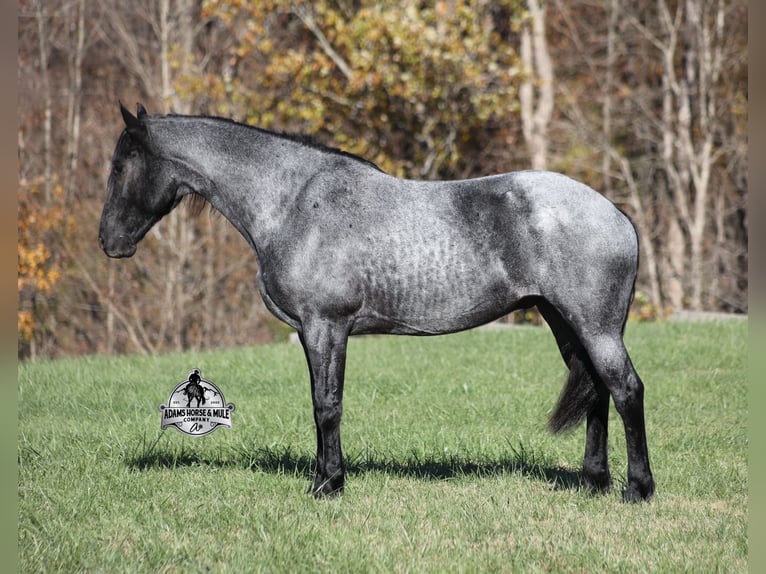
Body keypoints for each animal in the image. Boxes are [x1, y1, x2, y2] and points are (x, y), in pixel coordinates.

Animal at [99, 102, 654, 501]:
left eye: (122, 165)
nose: (109, 241)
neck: (293, 202)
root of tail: (618, 215)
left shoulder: (326, 327)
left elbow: (327, 406)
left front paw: (327, 486)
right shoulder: (314, 333)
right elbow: (319, 403)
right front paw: (326, 477)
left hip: (595, 326)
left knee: (626, 389)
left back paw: (637, 489)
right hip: (564, 321)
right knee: (597, 391)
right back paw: (594, 482)